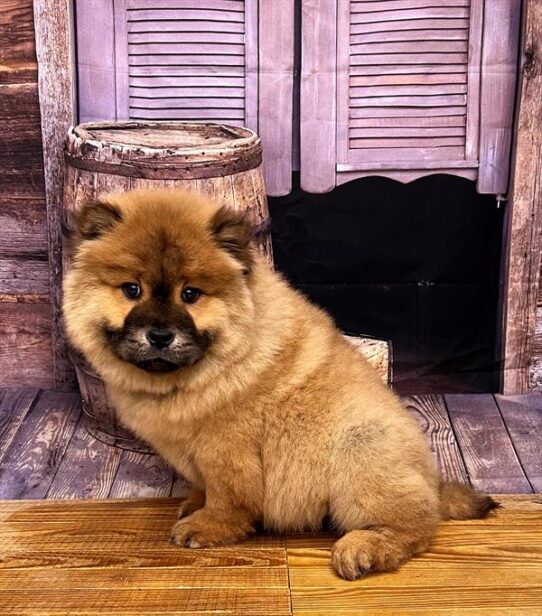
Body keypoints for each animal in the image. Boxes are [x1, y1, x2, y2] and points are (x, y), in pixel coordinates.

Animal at [62, 190, 498, 580]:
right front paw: (193, 504)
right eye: (131, 290)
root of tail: (433, 479)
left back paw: (363, 549)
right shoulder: (191, 451)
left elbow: (227, 496)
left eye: (190, 295)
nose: (160, 335)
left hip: (359, 451)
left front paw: (207, 526)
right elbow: (202, 485)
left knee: (416, 526)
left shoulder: (227, 447)